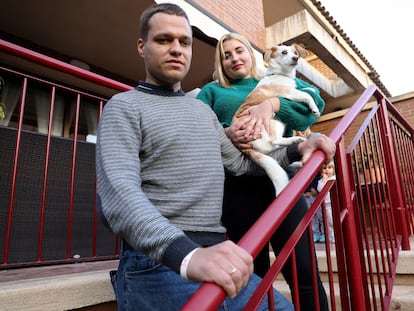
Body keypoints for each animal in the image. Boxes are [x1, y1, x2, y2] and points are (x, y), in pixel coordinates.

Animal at [233, 44, 320, 195]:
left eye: (295, 52)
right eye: (284, 52)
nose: (296, 58)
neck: (281, 74)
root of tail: (246, 148)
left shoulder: (293, 89)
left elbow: (307, 90)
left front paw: (313, 90)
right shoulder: (288, 93)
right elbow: (306, 95)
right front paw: (314, 108)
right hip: (273, 122)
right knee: (274, 140)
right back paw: (295, 139)